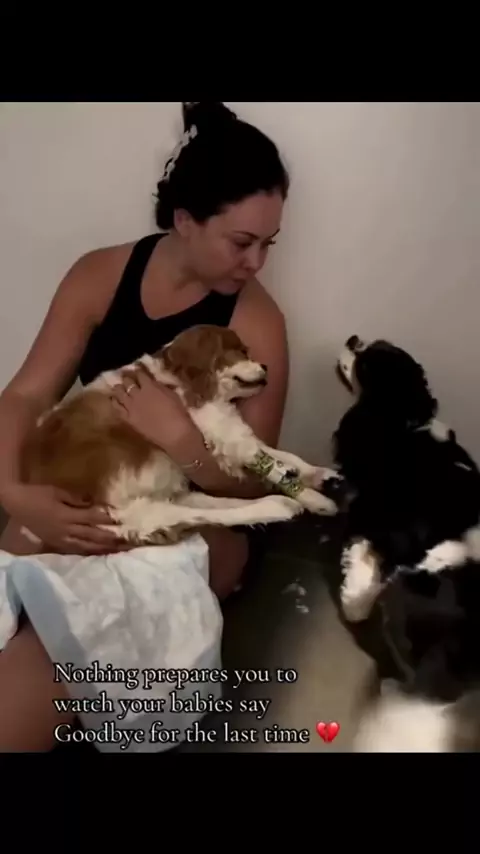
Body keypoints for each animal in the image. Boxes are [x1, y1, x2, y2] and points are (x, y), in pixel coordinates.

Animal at [21, 325, 339, 550]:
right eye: (240, 351)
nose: (265, 366)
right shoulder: (222, 431)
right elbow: (270, 462)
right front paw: (310, 493)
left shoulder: (224, 434)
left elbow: (281, 454)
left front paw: (316, 474)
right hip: (133, 513)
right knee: (214, 515)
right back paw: (279, 505)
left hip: (169, 497)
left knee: (219, 507)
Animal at [333, 334, 480, 751]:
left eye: (366, 360)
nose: (353, 338)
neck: (405, 422)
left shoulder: (372, 522)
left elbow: (360, 571)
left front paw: (353, 606)